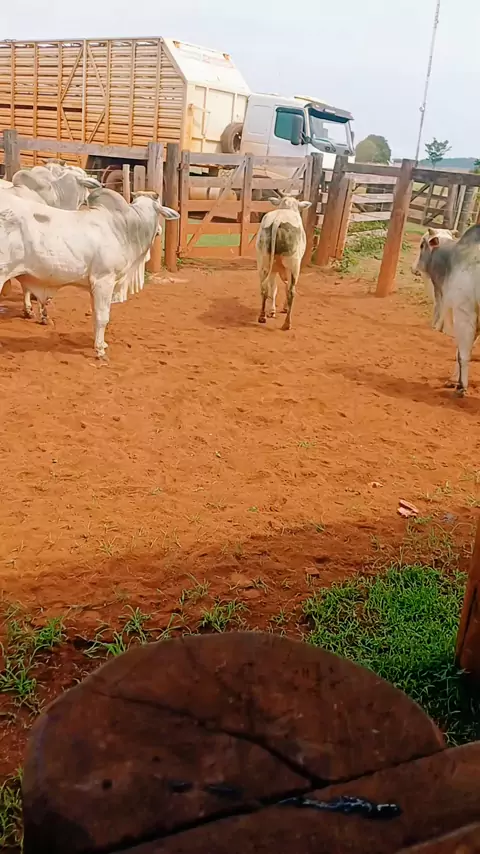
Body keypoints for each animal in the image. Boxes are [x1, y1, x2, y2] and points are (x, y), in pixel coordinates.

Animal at [0, 188, 179, 358]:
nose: (160, 230)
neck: (125, 227)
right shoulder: (104, 280)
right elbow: (102, 316)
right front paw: (100, 350)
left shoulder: (94, 285)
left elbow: (95, 315)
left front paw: (100, 344)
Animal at [256, 194, 311, 330]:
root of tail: (277, 220)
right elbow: (286, 287)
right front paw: (284, 308)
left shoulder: (273, 269)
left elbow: (274, 289)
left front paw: (272, 311)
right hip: (293, 265)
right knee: (291, 291)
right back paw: (287, 323)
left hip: (263, 262)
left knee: (265, 288)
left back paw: (262, 316)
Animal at [413, 224, 480, 395]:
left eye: (422, 245)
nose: (413, 268)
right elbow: (460, 352)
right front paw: (453, 380)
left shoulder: (464, 313)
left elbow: (463, 353)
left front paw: (461, 386)